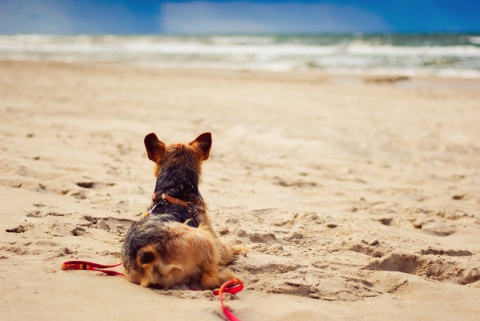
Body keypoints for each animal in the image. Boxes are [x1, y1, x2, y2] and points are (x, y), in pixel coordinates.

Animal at [122, 132, 242, 288]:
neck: (175, 189)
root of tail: (148, 252)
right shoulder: (215, 241)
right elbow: (228, 248)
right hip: (203, 238)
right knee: (208, 280)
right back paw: (228, 277)